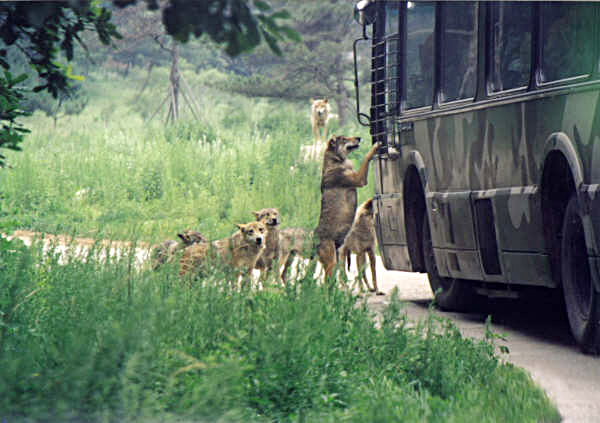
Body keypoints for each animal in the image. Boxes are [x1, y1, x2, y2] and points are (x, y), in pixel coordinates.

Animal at [314, 136, 380, 280]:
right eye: (344, 139)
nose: (359, 137)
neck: (337, 161)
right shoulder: (359, 179)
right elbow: (367, 157)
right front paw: (374, 147)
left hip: (337, 259)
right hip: (331, 263)